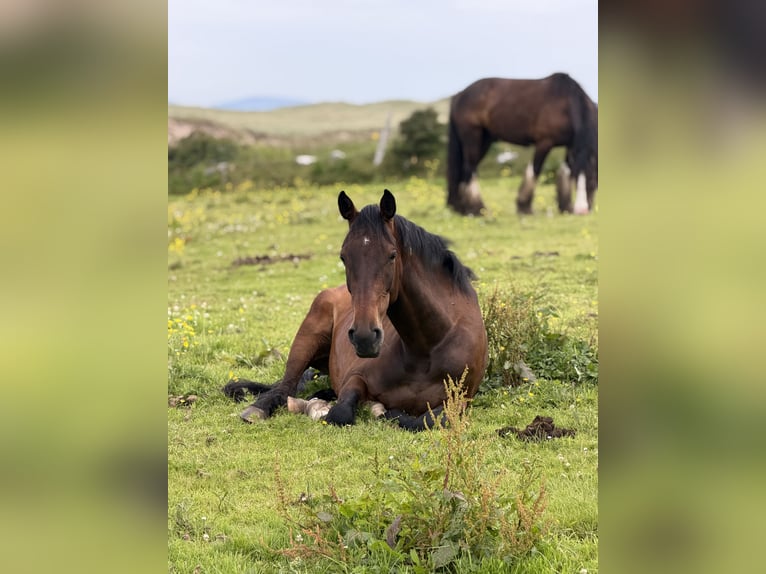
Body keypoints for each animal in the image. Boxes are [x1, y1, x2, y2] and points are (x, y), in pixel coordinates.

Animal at [223, 189, 488, 431]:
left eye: (392, 255)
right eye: (343, 257)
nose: (364, 337)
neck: (426, 348)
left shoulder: (460, 401)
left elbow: (428, 420)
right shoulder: (356, 377)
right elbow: (340, 412)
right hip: (306, 340)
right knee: (284, 387)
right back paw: (260, 409)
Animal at [446, 73, 598, 216]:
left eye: (592, 180)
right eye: (576, 179)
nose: (582, 211)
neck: (565, 102)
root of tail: (460, 94)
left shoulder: (570, 145)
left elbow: (565, 170)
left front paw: (565, 207)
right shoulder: (544, 142)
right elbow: (535, 170)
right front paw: (524, 207)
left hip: (485, 140)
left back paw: (464, 209)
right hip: (472, 136)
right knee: (469, 168)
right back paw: (478, 209)